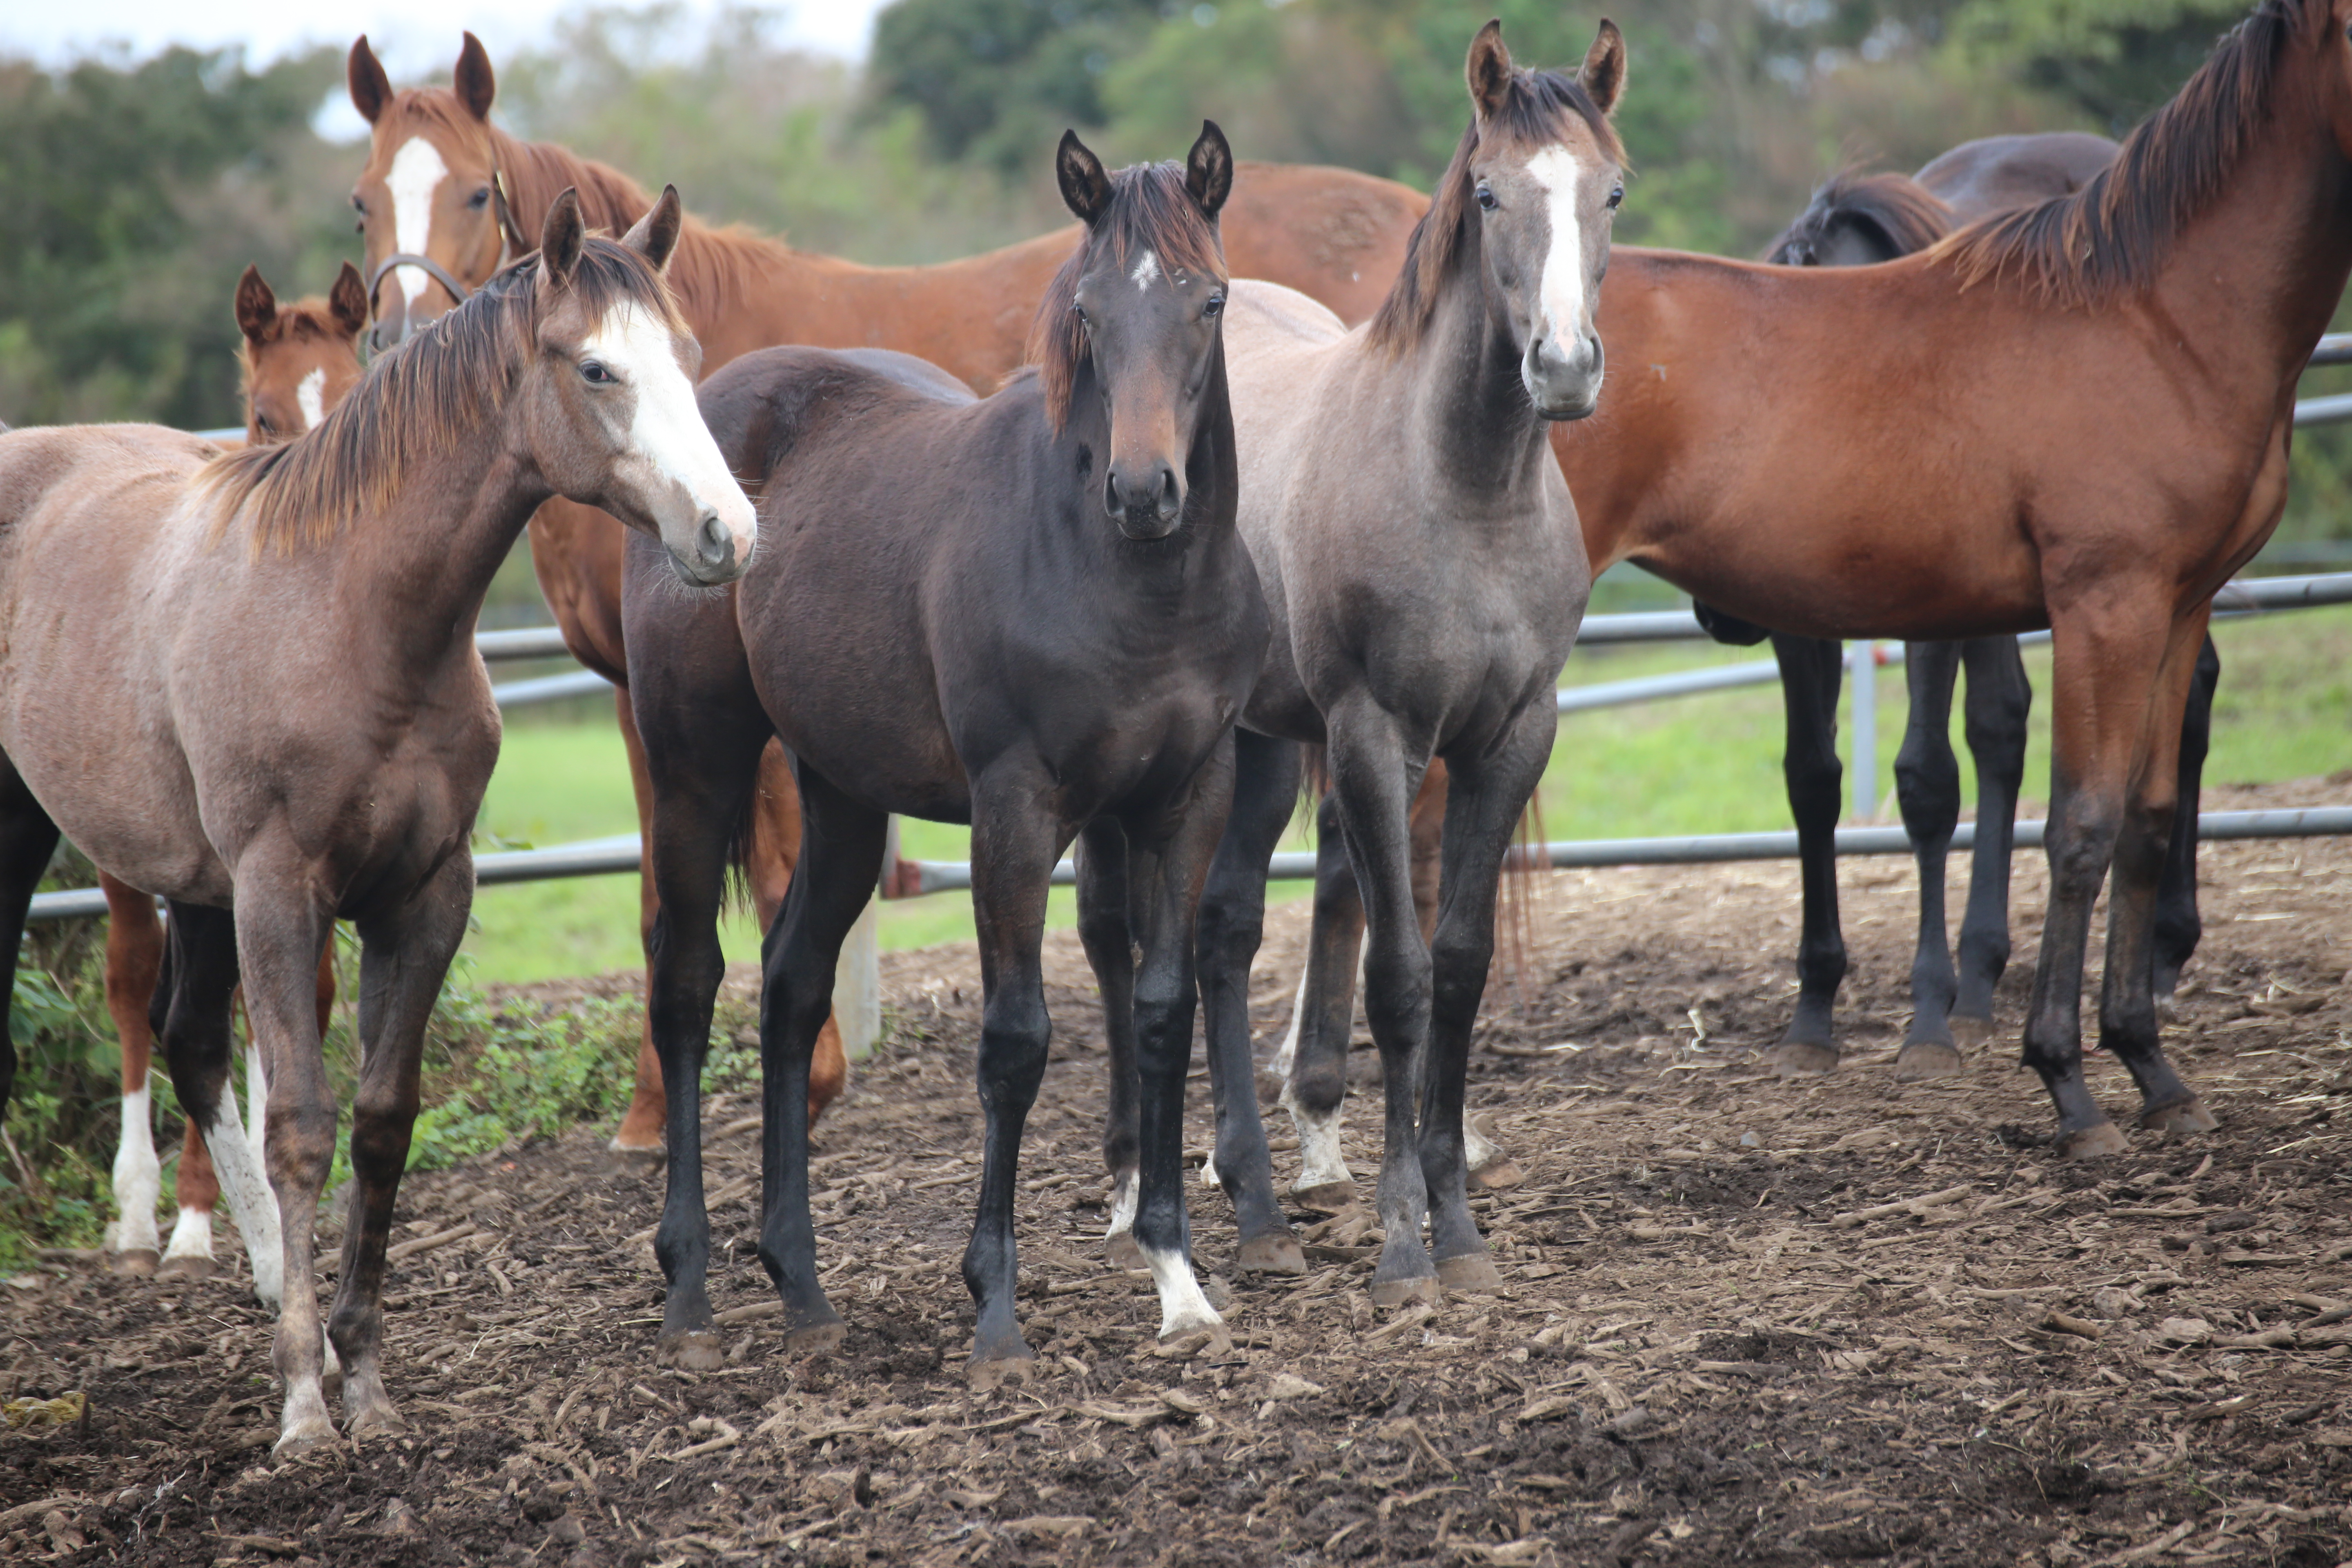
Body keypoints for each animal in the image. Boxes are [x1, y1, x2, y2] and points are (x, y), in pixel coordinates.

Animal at [100, 261, 362, 1288]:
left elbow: (290, 1007)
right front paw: (200, 1216)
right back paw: (143, 1214)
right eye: (261, 414)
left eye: (363, 385)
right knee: (133, 980)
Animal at [616, 122, 1261, 1382]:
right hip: (693, 769)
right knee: (686, 984)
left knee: (790, 982)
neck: (1127, 581)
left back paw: (802, 1282)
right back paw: (690, 1285)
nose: (1144, 491)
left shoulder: (1189, 799)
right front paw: (994, 1305)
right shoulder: (1015, 812)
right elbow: (1015, 1041)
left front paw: (1176, 1276)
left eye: (1208, 301)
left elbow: (1163, 1011)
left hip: (842, 796)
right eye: (1088, 312)